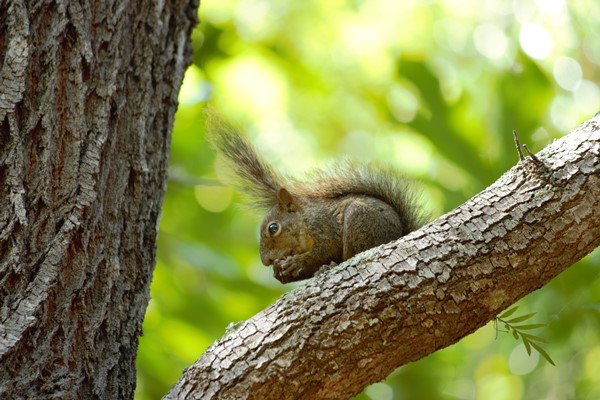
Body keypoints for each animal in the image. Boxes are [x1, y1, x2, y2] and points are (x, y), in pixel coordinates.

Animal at [209, 115, 424, 284]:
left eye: (273, 228)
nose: (266, 261)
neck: (303, 223)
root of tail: (400, 233)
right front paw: (281, 273)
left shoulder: (324, 226)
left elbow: (323, 250)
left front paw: (297, 262)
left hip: (360, 222)